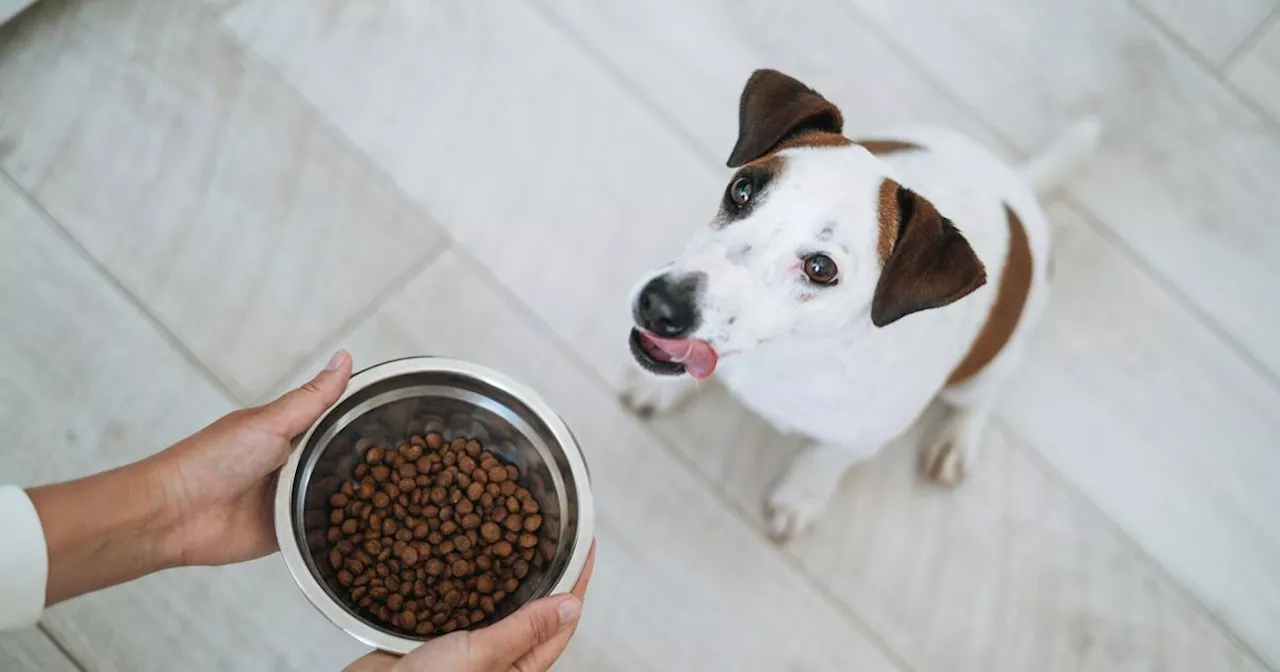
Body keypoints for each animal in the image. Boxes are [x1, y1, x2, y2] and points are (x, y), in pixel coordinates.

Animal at [622, 68, 1100, 540]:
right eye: (741, 190)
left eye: (820, 268)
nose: (659, 306)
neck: (794, 349)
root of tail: (1018, 186)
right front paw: (661, 388)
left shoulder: (860, 439)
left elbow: (827, 459)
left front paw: (801, 497)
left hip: (983, 370)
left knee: (984, 396)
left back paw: (956, 438)